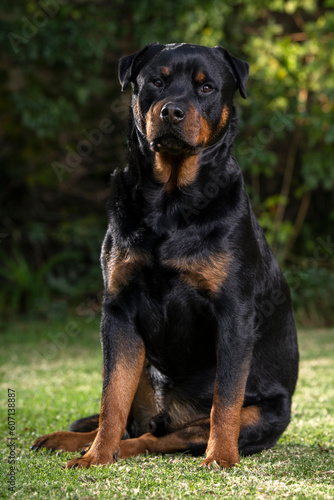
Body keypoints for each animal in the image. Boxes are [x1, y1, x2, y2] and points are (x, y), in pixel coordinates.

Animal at [31, 43, 298, 468]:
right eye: (157, 81)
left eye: (206, 88)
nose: (171, 111)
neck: (171, 203)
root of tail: (166, 415)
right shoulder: (119, 309)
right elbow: (111, 397)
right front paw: (95, 456)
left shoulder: (234, 312)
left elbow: (226, 400)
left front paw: (221, 458)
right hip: (142, 366)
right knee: (131, 424)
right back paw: (77, 441)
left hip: (262, 414)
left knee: (158, 439)